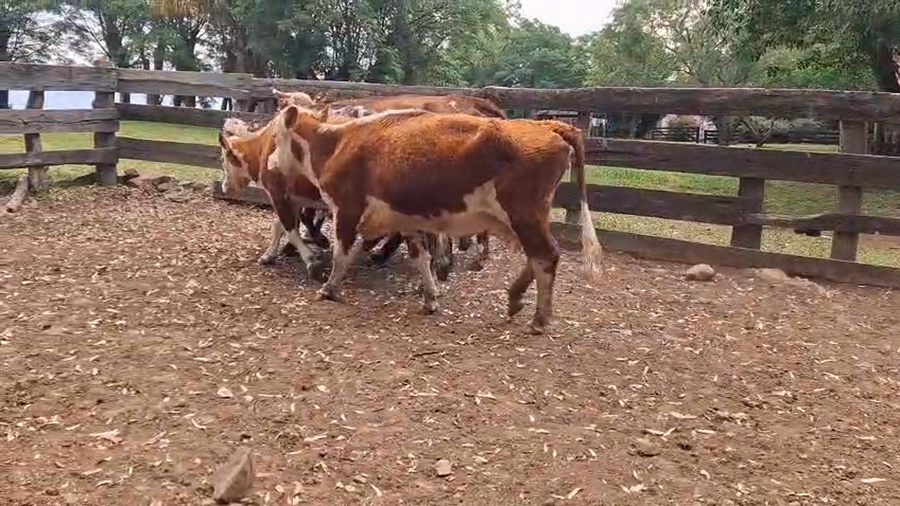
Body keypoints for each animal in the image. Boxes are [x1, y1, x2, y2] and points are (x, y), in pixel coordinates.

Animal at [269, 105, 603, 334]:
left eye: (277, 136)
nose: (269, 163)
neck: (338, 142)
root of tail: (547, 125)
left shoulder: (347, 210)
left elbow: (341, 253)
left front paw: (329, 288)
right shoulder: (406, 220)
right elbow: (420, 258)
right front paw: (430, 298)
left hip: (524, 215)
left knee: (545, 256)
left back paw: (539, 318)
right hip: (527, 218)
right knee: (536, 257)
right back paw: (515, 298)